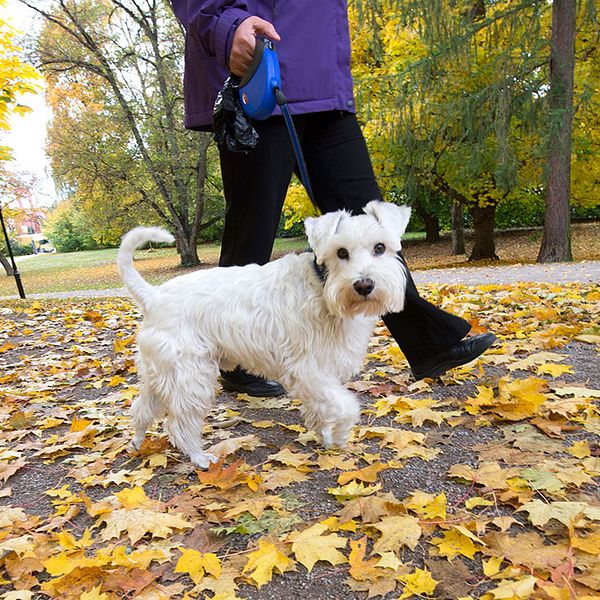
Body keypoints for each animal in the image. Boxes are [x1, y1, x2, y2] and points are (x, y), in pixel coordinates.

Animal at [119, 202, 412, 468]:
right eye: (341, 252)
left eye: (380, 247)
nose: (364, 285)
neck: (322, 285)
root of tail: (154, 296)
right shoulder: (308, 370)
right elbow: (345, 406)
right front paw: (340, 435)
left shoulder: (321, 374)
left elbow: (323, 407)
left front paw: (326, 436)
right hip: (192, 378)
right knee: (179, 424)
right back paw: (200, 458)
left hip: (160, 376)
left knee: (142, 409)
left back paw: (137, 442)